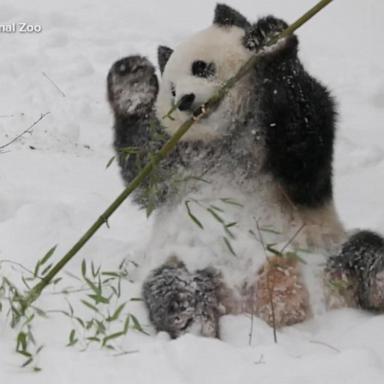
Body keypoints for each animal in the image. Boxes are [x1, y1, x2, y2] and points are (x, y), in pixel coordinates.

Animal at [106, 3, 384, 340]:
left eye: (201, 67)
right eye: (170, 90)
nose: (185, 101)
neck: (227, 137)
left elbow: (304, 143)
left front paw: (272, 41)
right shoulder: (178, 161)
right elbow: (144, 172)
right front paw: (132, 82)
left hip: (326, 253)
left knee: (367, 251)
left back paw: (379, 284)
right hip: (189, 260)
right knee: (170, 284)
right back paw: (189, 318)